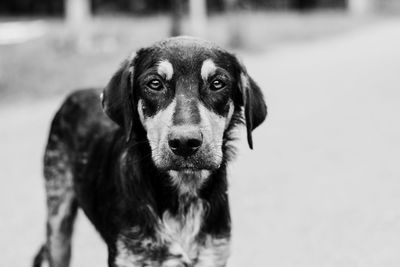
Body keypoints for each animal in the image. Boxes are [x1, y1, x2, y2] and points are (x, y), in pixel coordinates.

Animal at [33, 36, 266, 267]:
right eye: (155, 84)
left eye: (217, 83)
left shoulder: (212, 254)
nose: (184, 142)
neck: (182, 195)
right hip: (58, 225)